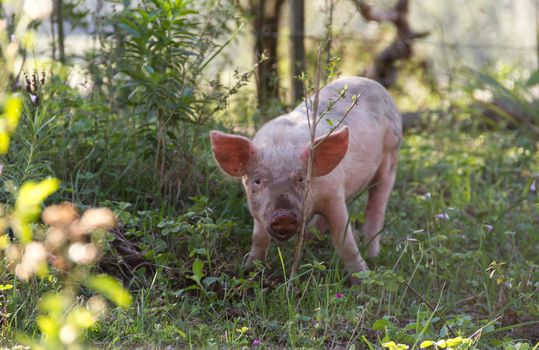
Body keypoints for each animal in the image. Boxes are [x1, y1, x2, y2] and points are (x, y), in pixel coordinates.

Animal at [210, 76, 400, 276]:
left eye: (301, 179)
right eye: (257, 181)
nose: (283, 215)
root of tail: (374, 84)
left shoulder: (334, 194)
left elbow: (345, 241)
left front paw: (362, 278)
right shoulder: (258, 213)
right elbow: (259, 239)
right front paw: (248, 269)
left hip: (391, 156)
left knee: (376, 209)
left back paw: (374, 257)